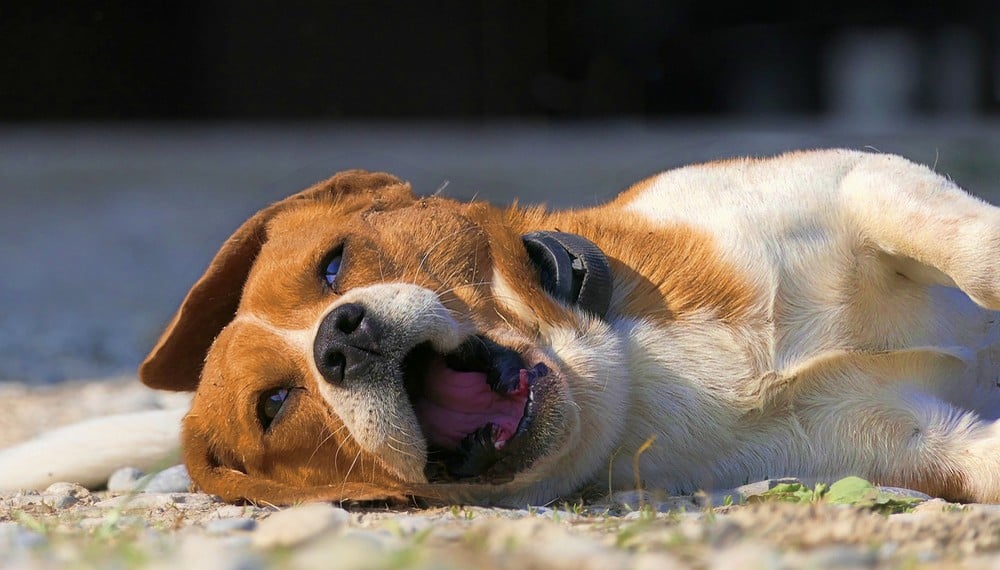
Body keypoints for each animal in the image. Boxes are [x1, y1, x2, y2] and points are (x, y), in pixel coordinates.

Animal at [1, 149, 1000, 504]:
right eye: (276, 406)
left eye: (332, 267)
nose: (339, 337)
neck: (635, 371)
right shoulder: (914, 443)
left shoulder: (858, 182)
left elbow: (977, 249)